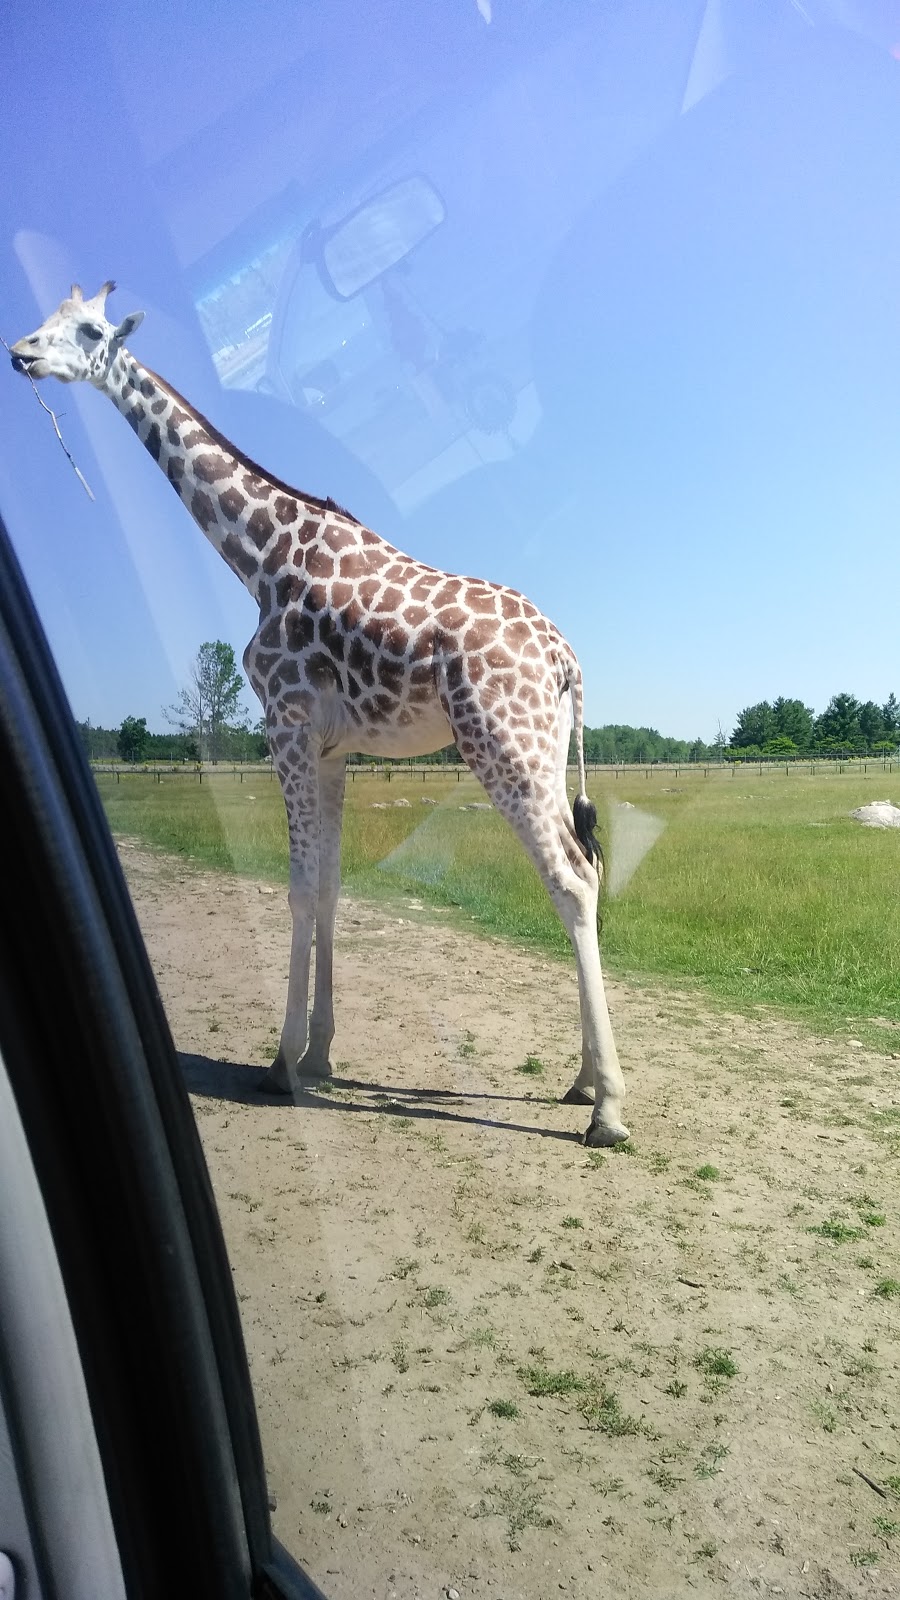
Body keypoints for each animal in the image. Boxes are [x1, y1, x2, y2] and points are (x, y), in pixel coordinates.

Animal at [12, 281, 630, 1145]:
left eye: (91, 332)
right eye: (49, 321)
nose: (22, 353)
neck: (257, 555)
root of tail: (566, 657)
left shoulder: (287, 723)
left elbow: (299, 889)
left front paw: (280, 1064)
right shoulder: (335, 748)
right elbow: (331, 887)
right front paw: (321, 1053)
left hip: (504, 742)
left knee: (571, 878)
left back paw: (609, 1108)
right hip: (544, 745)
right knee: (591, 871)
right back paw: (579, 1079)